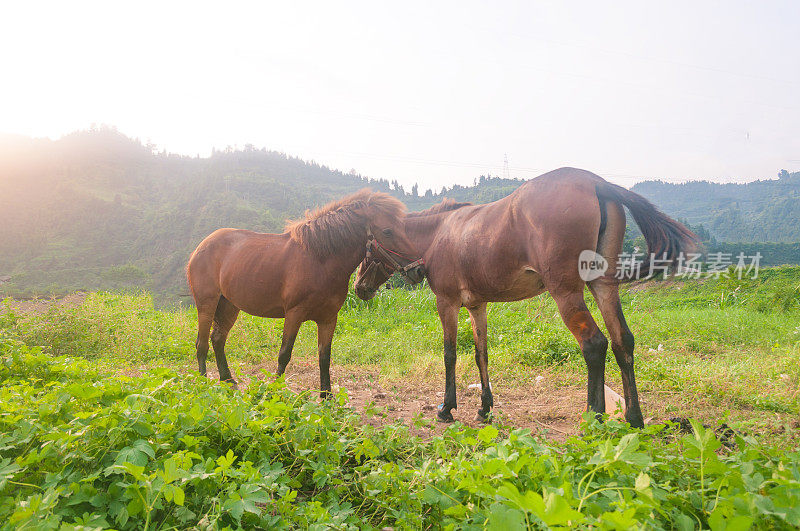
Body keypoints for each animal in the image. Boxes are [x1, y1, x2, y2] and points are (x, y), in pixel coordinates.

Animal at [188, 190, 424, 394]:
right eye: (387, 231)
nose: (419, 269)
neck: (319, 261)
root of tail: (201, 246)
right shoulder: (294, 314)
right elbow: (284, 354)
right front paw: (273, 392)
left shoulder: (328, 319)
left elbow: (324, 357)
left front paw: (326, 396)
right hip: (207, 304)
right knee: (202, 344)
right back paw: (202, 383)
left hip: (229, 305)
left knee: (218, 339)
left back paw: (228, 380)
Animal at [354, 168, 696, 430]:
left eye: (365, 250)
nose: (359, 288)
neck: (439, 234)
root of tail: (596, 182)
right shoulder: (477, 305)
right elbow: (481, 354)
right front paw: (485, 408)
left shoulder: (447, 302)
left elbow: (450, 354)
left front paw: (447, 408)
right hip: (603, 285)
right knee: (622, 340)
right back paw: (634, 418)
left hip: (566, 291)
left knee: (595, 344)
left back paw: (593, 418)